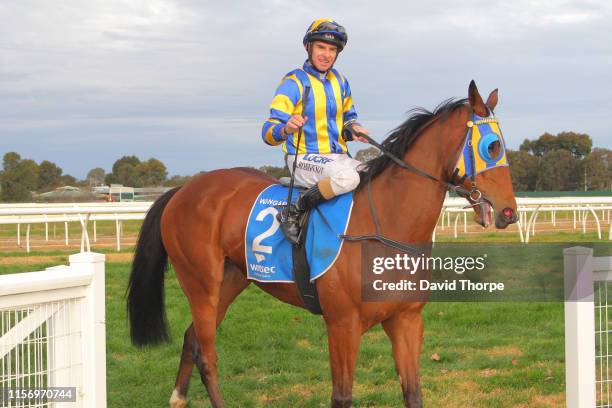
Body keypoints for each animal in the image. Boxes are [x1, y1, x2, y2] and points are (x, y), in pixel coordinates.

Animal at [128, 81, 516, 406]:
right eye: (492, 146)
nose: (509, 211)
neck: (385, 224)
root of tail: (183, 189)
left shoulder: (406, 320)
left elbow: (413, 393)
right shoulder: (342, 325)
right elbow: (342, 396)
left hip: (230, 280)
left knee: (192, 337)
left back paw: (178, 398)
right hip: (201, 284)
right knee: (207, 355)